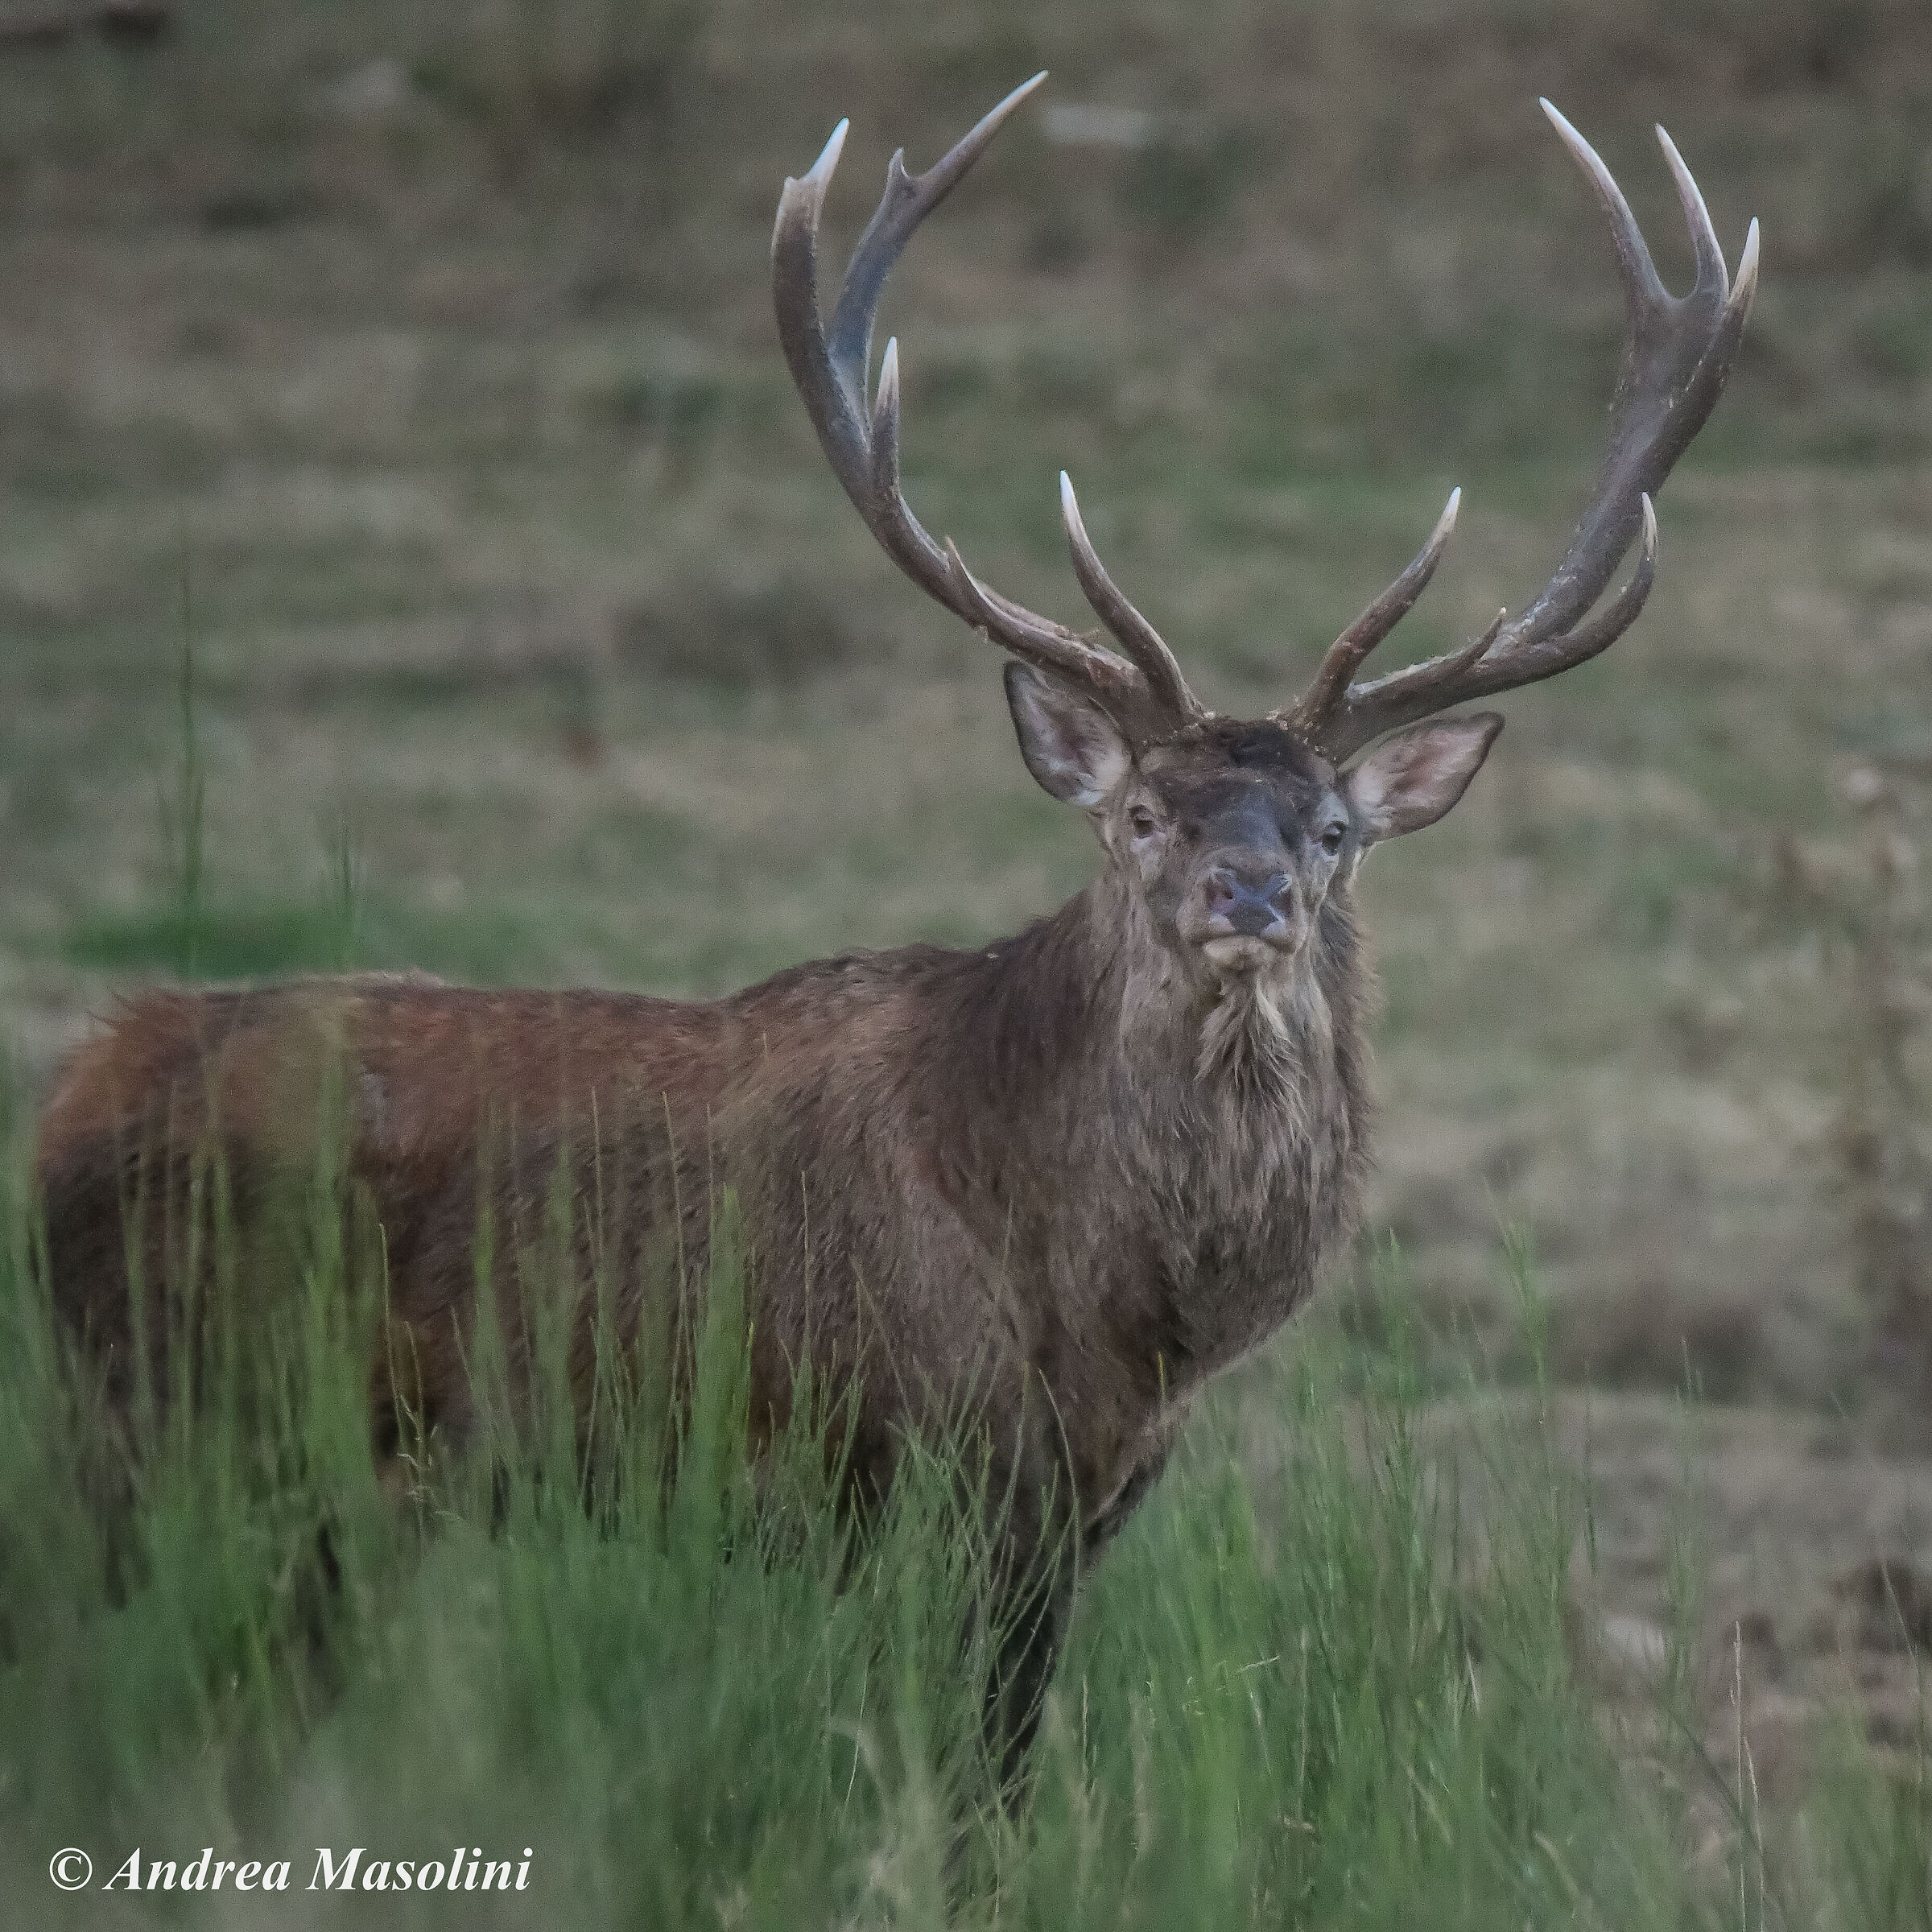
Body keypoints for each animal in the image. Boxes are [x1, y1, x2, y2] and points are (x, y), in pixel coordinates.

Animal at [33, 76, 1756, 1783]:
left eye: (1333, 832)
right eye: (1144, 814)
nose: (1250, 895)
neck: (1122, 1313)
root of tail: (67, 1100)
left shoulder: (1072, 1510)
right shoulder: (912, 1469)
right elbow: (947, 1783)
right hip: (192, 1428)